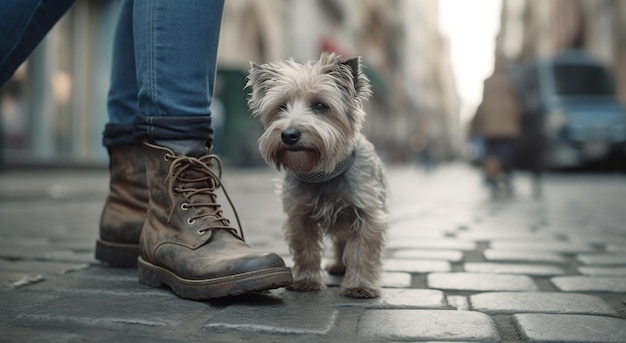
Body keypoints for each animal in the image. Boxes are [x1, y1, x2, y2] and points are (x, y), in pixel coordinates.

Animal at [244, 52, 386, 300]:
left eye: (321, 106)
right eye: (282, 107)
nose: (289, 135)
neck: (322, 173)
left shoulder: (366, 215)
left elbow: (362, 251)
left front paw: (360, 286)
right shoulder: (300, 216)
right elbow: (306, 249)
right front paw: (306, 281)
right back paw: (338, 265)